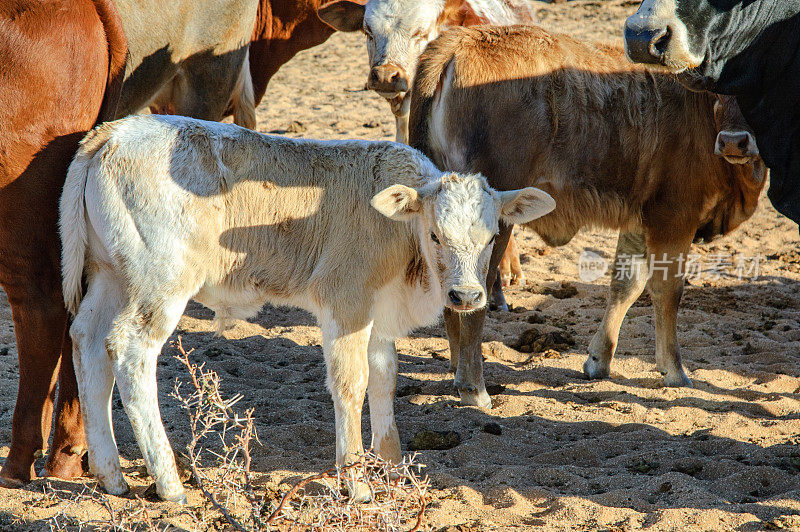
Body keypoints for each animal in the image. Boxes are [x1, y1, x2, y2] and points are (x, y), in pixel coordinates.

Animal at [59, 115, 556, 502]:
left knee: (87, 342)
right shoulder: (346, 302)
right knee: (130, 353)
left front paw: (393, 468)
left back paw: (111, 474)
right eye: (435, 234)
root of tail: (115, 131)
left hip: (111, 275)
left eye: (492, 237)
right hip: (161, 282)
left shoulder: (379, 313)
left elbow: (384, 379)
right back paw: (169, 483)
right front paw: (356, 483)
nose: (467, 297)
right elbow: (352, 384)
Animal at [410, 25, 764, 408]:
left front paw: (599, 360)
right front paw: (674, 370)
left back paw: (456, 368)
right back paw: (473, 386)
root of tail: (459, 42)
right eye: (720, 88)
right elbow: (667, 291)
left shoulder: (638, 223)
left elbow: (625, 286)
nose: (734, 141)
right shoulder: (673, 219)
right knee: (477, 294)